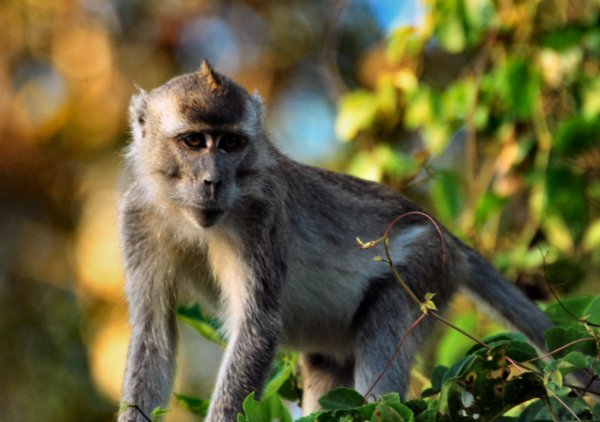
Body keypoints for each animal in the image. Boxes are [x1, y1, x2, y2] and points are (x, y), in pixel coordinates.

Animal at [118, 61, 576, 420]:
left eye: (231, 143)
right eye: (194, 141)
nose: (213, 181)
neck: (187, 217)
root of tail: (447, 235)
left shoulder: (262, 217)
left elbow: (257, 329)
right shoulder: (137, 218)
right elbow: (154, 337)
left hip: (425, 267)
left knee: (383, 336)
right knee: (326, 365)